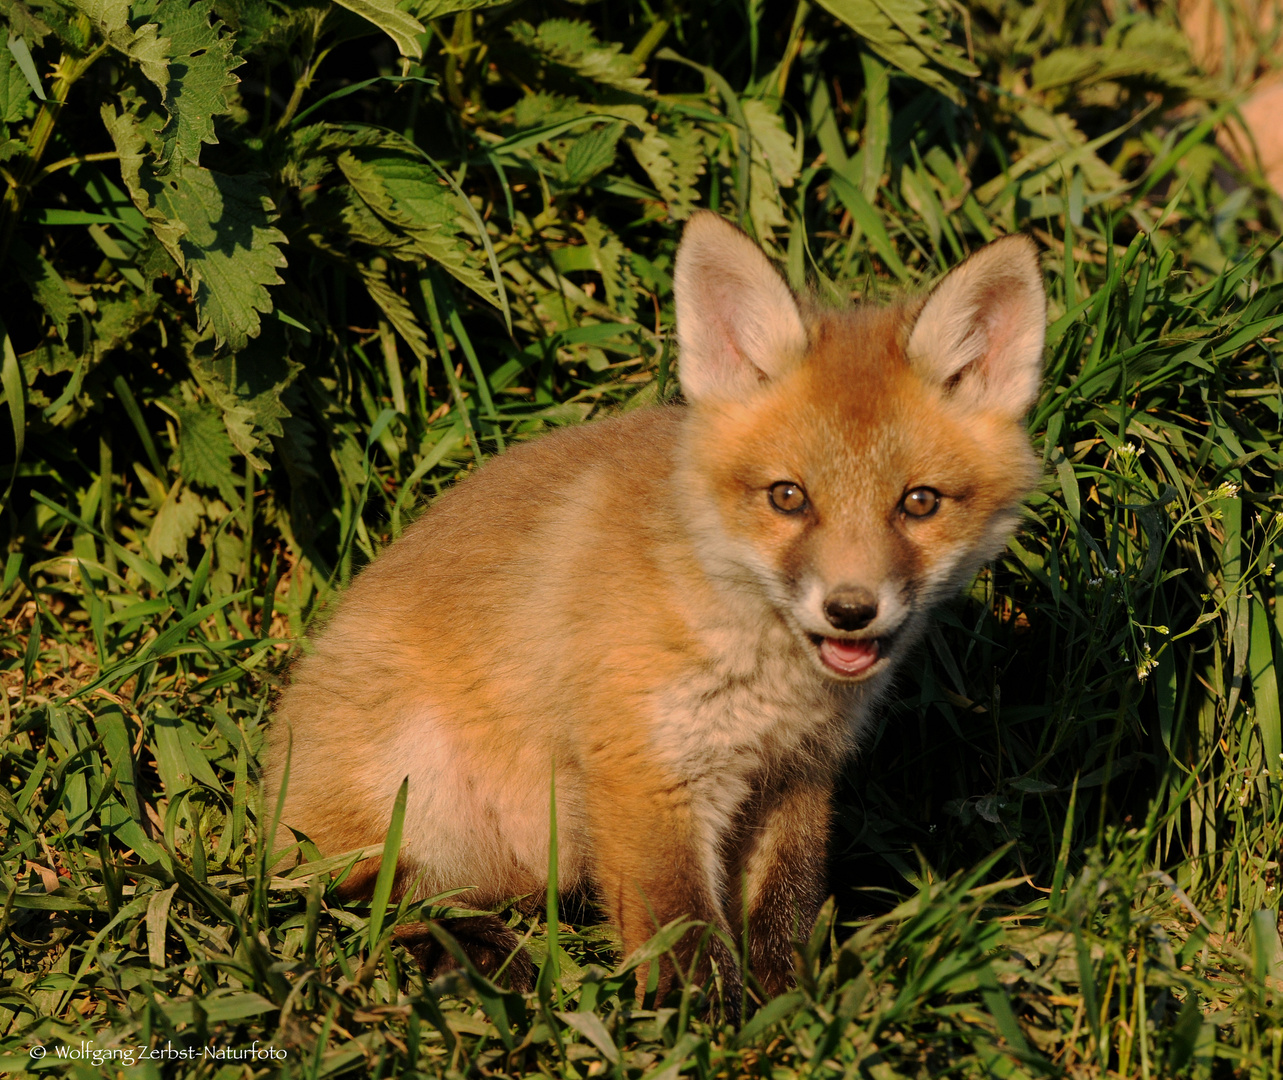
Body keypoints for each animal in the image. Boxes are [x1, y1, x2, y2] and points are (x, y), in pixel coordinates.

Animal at [265, 212, 1046, 1020]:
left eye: (918, 503)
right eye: (788, 497)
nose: (851, 610)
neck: (763, 676)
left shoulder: (796, 773)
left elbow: (786, 908)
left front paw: (794, 1010)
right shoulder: (644, 770)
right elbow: (684, 931)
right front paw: (709, 1027)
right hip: (409, 798)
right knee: (369, 898)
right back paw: (468, 951)